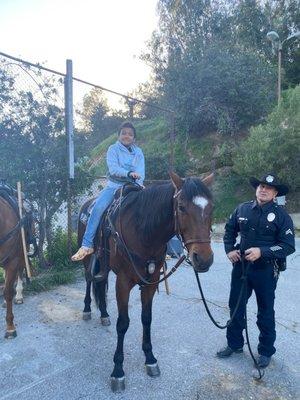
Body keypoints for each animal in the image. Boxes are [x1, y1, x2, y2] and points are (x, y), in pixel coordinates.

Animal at [77, 171, 213, 390]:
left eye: (211, 207)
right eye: (181, 207)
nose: (204, 259)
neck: (143, 231)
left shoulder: (152, 281)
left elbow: (146, 319)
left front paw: (150, 359)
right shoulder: (123, 282)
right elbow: (123, 323)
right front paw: (118, 370)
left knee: (100, 282)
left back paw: (104, 313)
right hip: (88, 259)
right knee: (89, 280)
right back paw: (87, 309)